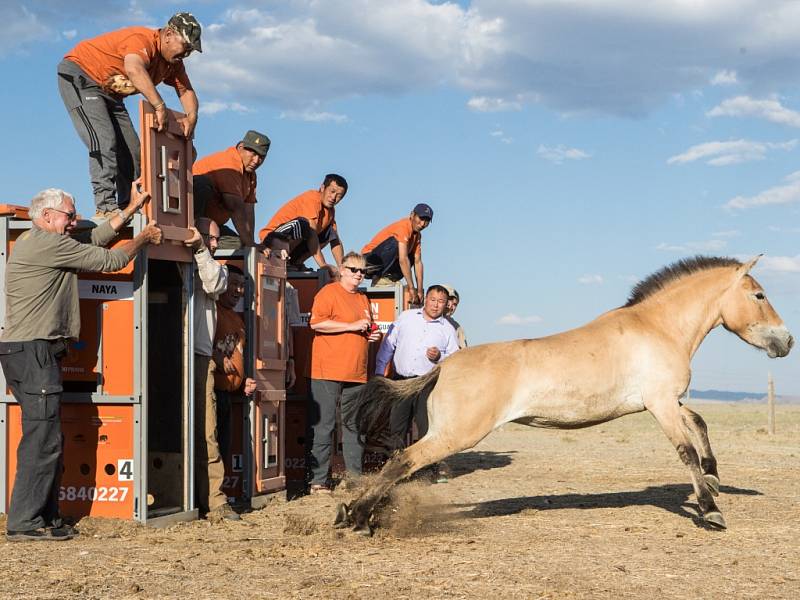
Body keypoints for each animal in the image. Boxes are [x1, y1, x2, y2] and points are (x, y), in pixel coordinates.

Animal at [336, 256, 792, 536]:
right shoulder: (660, 404)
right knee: (402, 461)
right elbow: (686, 452)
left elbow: (698, 422)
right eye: (759, 295)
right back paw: (357, 517)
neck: (657, 328)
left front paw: (714, 478)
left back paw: (358, 513)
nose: (786, 342)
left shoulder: (665, 401)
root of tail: (443, 365)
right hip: (456, 435)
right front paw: (711, 510)